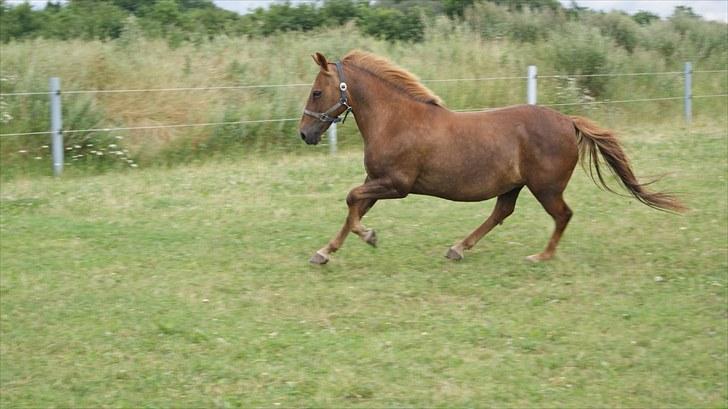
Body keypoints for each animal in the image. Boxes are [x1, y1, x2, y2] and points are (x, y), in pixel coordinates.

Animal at [298, 50, 684, 264]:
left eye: (316, 92)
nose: (304, 134)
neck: (396, 120)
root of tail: (568, 121)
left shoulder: (396, 184)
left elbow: (351, 201)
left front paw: (369, 236)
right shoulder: (376, 181)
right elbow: (354, 208)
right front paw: (324, 252)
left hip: (546, 187)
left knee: (562, 215)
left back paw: (540, 256)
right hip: (514, 185)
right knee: (502, 212)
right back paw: (458, 248)